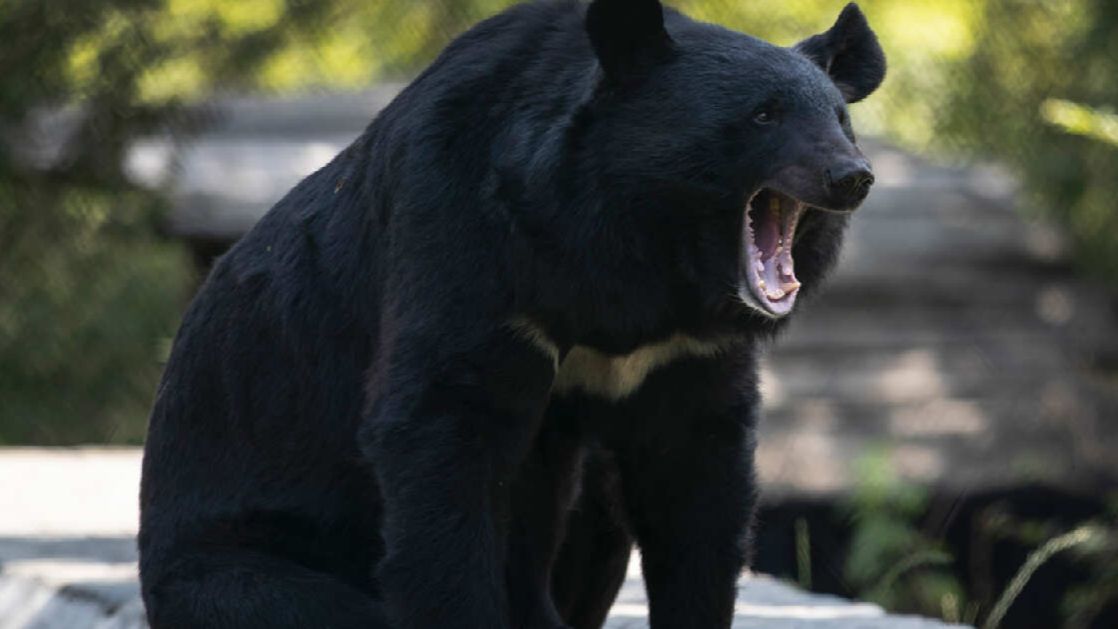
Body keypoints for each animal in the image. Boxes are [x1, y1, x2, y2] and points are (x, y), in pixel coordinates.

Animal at [138, 1, 885, 628]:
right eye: (764, 115)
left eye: (840, 120)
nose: (852, 177)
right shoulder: (468, 248)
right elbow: (441, 437)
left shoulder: (686, 351)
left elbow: (696, 480)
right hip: (231, 558)